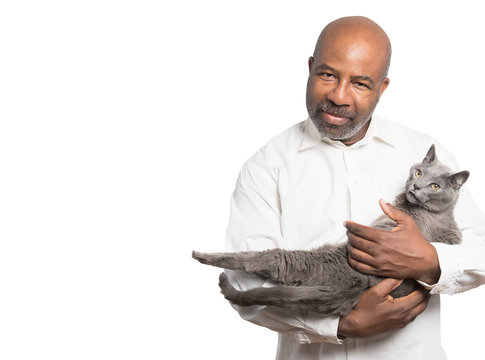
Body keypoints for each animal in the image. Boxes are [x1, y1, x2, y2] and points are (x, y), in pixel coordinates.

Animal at [193, 145, 468, 316]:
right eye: (419, 172)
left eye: (435, 186)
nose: (417, 186)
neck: (437, 213)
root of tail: (352, 287)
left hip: (304, 260)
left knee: (266, 260)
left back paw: (203, 256)